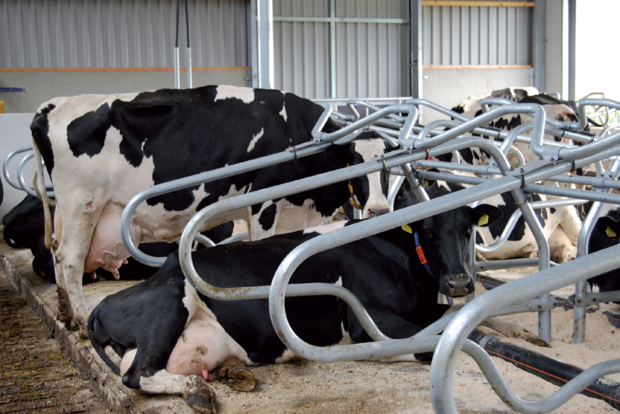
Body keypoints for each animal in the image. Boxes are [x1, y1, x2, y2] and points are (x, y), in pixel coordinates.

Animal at [31, 85, 392, 334]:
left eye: (388, 167)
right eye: (354, 163)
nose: (377, 210)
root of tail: (51, 105)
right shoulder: (263, 201)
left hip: (67, 212)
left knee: (57, 252)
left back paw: (65, 315)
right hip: (83, 204)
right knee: (71, 259)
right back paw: (79, 319)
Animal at [88, 199, 504, 412]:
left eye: (468, 228)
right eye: (428, 231)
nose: (459, 282)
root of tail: (101, 305)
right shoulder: (370, 323)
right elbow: (436, 342)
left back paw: (231, 375)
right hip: (172, 300)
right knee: (138, 374)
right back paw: (199, 392)